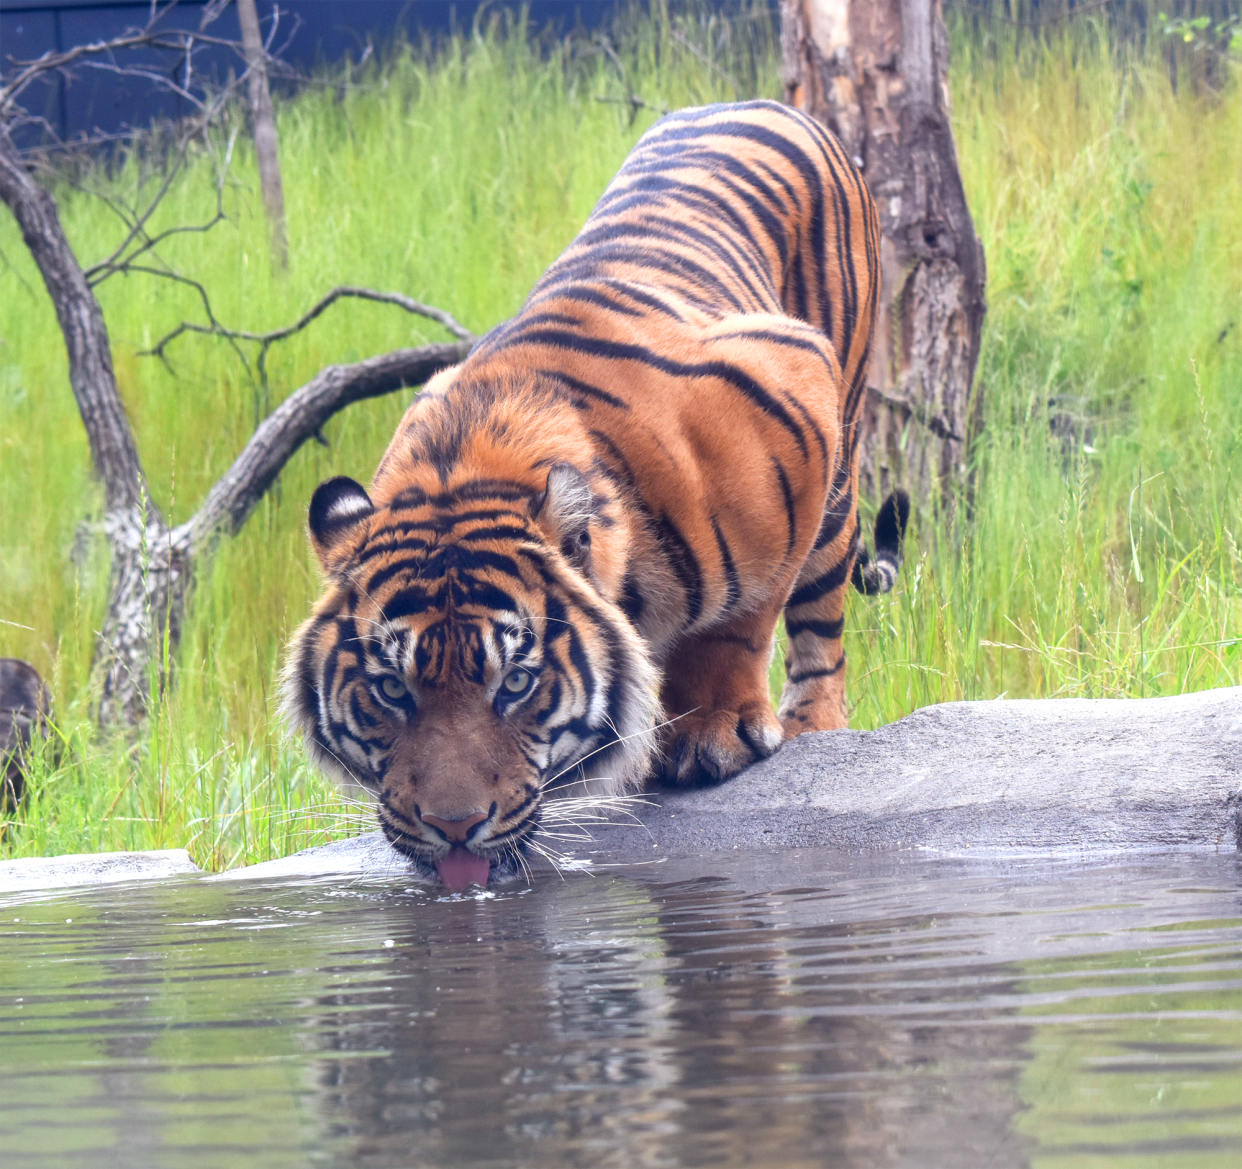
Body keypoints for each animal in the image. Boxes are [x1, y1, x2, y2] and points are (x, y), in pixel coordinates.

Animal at [281, 100, 909, 889]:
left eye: (516, 683)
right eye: (391, 690)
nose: (453, 830)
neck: (465, 464)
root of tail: (765, 104)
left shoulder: (792, 385)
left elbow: (740, 617)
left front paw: (713, 731)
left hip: (841, 449)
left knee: (820, 621)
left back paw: (812, 723)